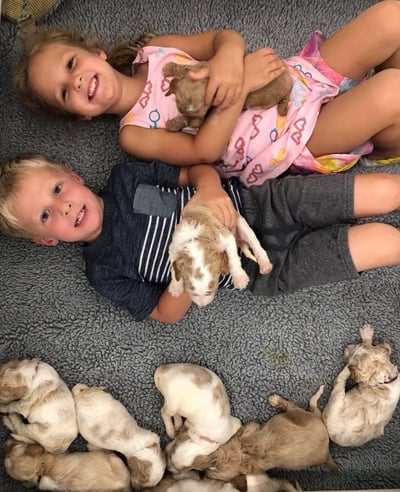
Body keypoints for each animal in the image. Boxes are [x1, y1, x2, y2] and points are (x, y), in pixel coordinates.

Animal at [172, 384, 338, 480]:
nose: (203, 474)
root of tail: (327, 455)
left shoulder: (252, 427)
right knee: (313, 408)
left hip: (298, 415)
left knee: (295, 406)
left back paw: (276, 400)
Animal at [322, 320, 400, 448]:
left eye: (356, 346)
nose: (346, 347)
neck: (386, 380)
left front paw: (366, 336)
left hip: (336, 398)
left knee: (339, 379)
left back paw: (348, 368)